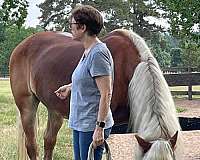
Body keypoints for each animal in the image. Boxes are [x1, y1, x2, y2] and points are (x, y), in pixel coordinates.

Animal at [9, 28, 181, 159]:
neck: (127, 69)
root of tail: (23, 45)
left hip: (54, 110)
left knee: (49, 141)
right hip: (27, 106)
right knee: (32, 146)